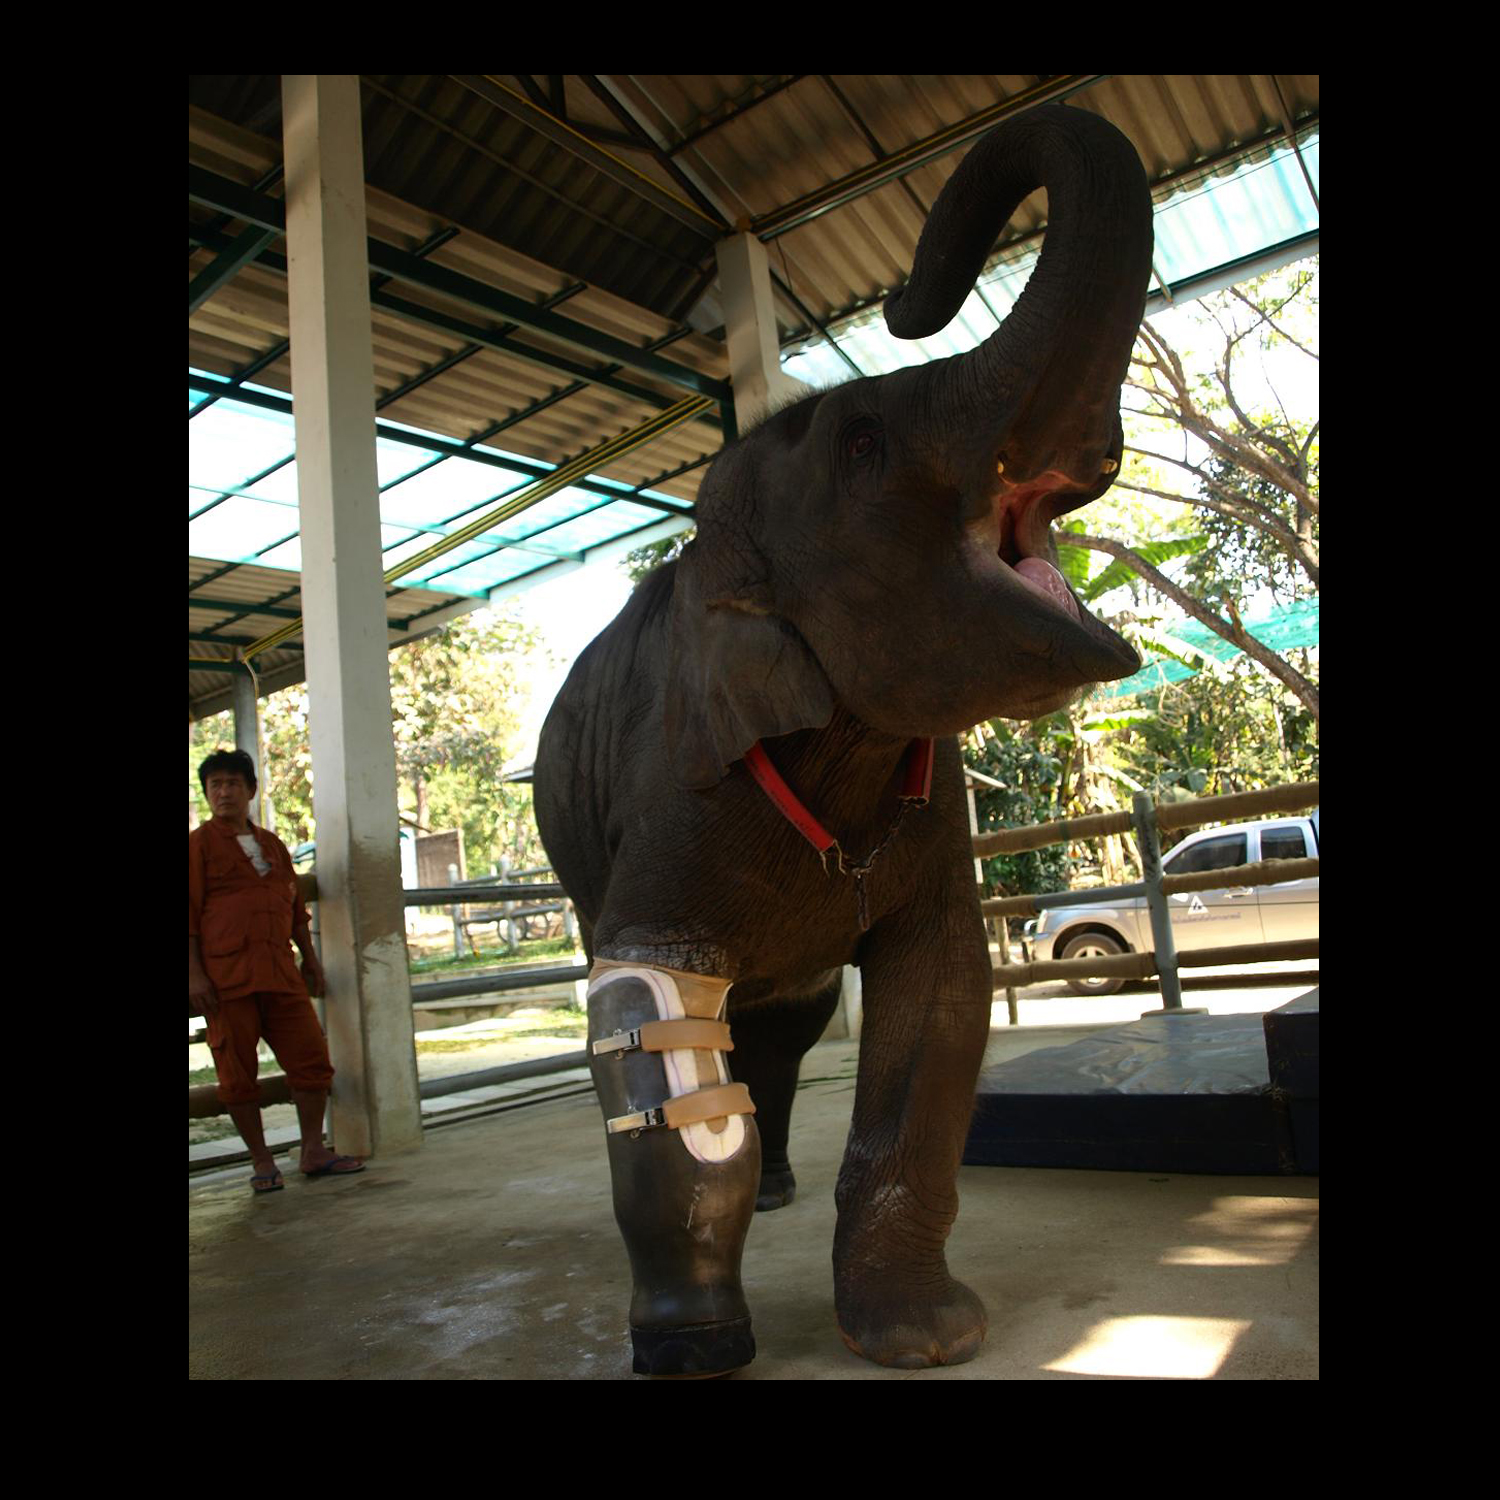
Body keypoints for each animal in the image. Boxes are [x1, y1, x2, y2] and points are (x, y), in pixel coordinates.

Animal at [534, 103, 1153, 1376]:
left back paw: (775, 1186)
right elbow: (646, 1015)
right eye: (863, 445)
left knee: (788, 1024)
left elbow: (940, 1001)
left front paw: (924, 1334)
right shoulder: (671, 789)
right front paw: (696, 1351)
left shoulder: (934, 805)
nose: (913, 298)